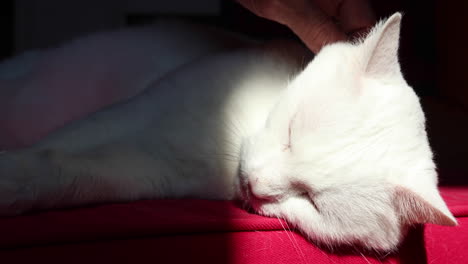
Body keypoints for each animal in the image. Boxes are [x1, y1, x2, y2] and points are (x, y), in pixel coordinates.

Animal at [0, 13, 458, 252]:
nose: (255, 184)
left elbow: (68, 174)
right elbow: (57, 146)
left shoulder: (148, 172)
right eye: (289, 132)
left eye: (310, 200)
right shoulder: (132, 112)